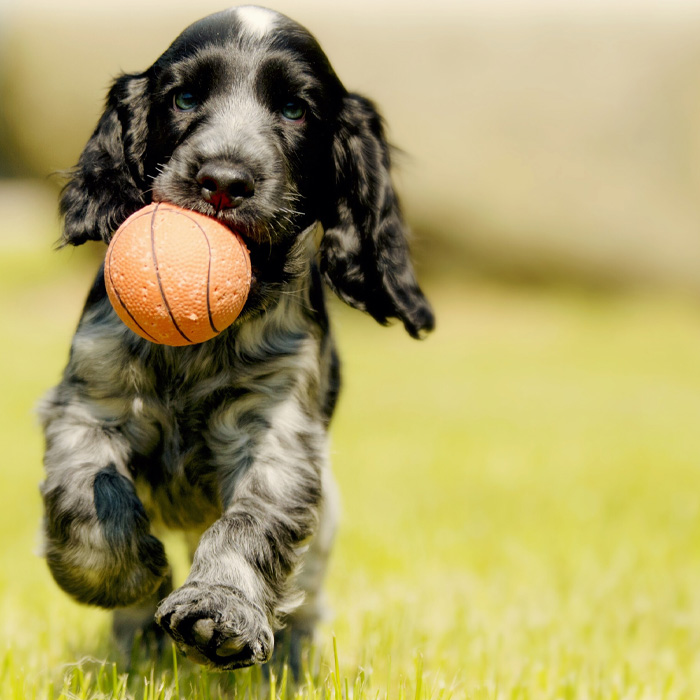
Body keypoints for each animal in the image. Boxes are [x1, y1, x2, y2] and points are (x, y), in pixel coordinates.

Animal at [38, 4, 434, 672]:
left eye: (295, 109)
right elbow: (88, 488)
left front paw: (220, 611)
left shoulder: (276, 430)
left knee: (309, 590)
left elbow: (251, 522)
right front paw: (124, 576)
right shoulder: (91, 398)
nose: (223, 180)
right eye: (184, 98)